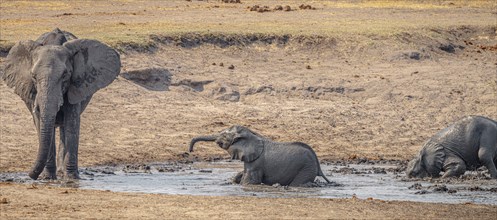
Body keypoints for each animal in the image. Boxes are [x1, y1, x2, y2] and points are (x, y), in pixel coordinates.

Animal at [2, 27, 121, 179]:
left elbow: (72, 123)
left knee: (65, 127)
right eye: (33, 76)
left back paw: (62, 172)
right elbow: (41, 123)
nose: (31, 175)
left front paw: (71, 178)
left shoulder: (75, 85)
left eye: (65, 75)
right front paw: (47, 178)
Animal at [188, 125, 332, 186]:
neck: (251, 134)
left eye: (223, 135)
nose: (190, 150)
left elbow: (249, 182)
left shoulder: (256, 163)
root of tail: (318, 165)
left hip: (306, 168)